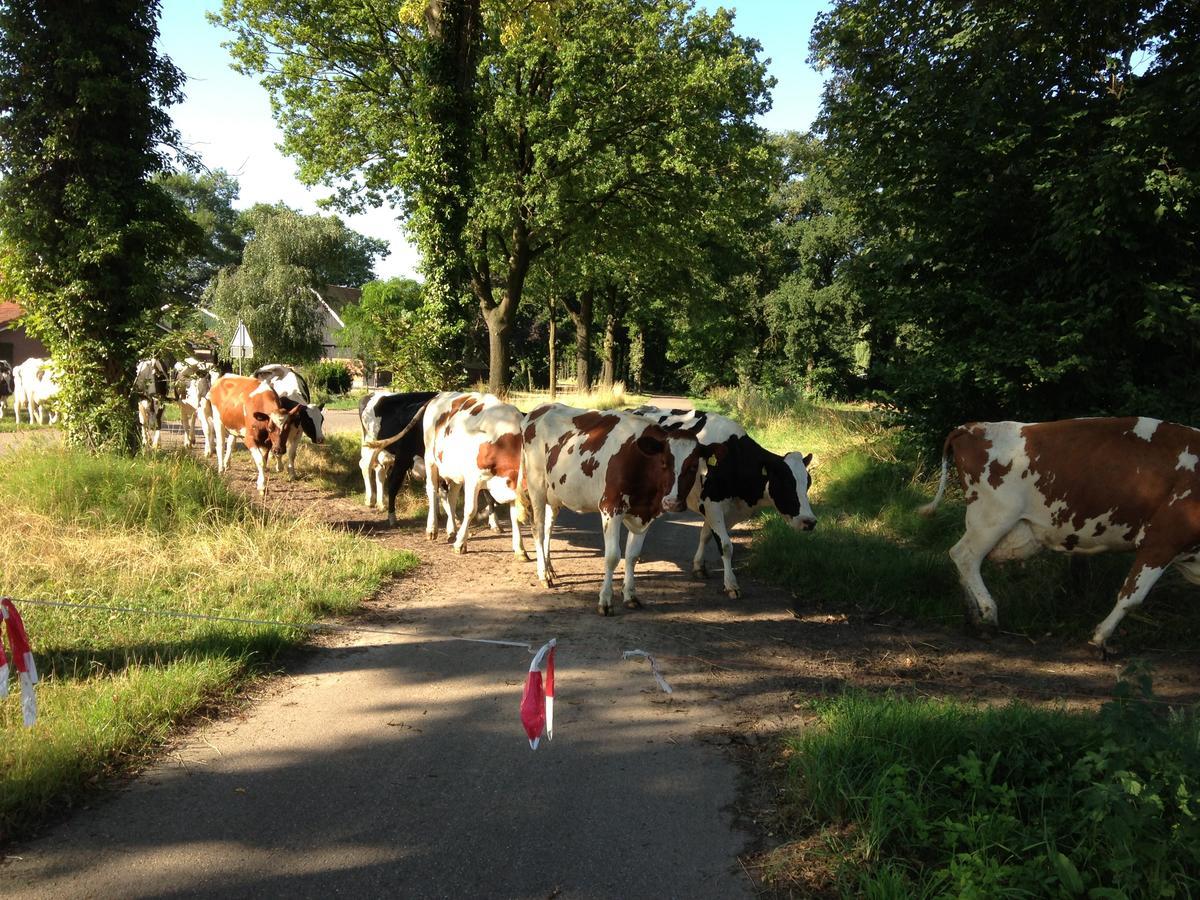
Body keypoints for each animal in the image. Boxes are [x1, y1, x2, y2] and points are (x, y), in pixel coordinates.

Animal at [357, 388, 439, 528]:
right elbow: (394, 484)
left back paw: (381, 503)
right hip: (371, 443)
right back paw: (370, 500)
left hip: (383, 449)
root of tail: (372, 394)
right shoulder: (403, 455)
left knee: (379, 469)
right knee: (366, 466)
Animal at [427, 393, 530, 561]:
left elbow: (514, 516)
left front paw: (520, 550)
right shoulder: (473, 479)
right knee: (432, 490)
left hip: (455, 472)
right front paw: (460, 544)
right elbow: (470, 510)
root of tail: (441, 395)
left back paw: (451, 531)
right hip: (430, 458)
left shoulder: (513, 484)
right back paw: (432, 529)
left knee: (452, 497)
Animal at [520, 405, 715, 619]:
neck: (640, 462)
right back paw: (543, 574)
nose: (672, 503)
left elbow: (632, 556)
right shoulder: (610, 508)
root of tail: (541, 409)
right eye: (664, 462)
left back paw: (550, 569)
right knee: (538, 530)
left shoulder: (645, 515)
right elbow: (613, 556)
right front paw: (605, 601)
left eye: (693, 466)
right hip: (536, 485)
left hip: (554, 494)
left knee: (548, 528)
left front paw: (630, 596)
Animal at [628, 408, 816, 600]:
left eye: (808, 483)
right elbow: (725, 545)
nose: (810, 521)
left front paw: (699, 567)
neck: (734, 459)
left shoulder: (730, 512)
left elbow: (706, 536)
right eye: (786, 483)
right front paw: (731, 584)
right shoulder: (713, 504)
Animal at [916, 420, 1200, 652]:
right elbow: (1132, 596)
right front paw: (1099, 638)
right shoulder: (1162, 539)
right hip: (991, 518)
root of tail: (972, 427)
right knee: (965, 556)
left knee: (965, 561)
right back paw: (988, 616)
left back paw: (972, 617)